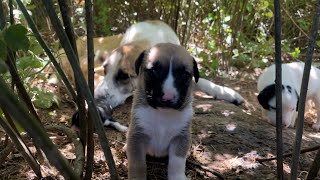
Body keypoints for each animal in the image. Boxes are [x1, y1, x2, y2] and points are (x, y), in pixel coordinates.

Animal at [125, 43, 198, 180]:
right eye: (153, 71)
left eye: (184, 75)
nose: (168, 98)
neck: (163, 114)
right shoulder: (137, 137)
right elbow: (137, 164)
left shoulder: (180, 138)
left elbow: (177, 163)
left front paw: (177, 177)